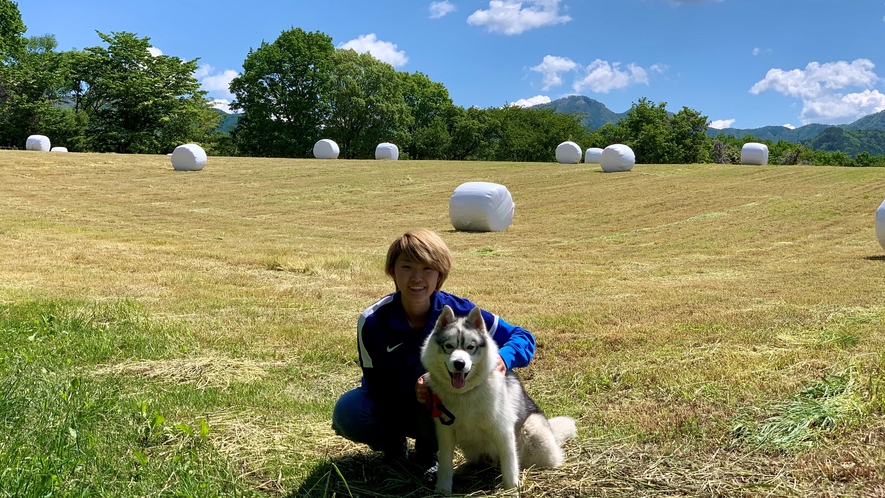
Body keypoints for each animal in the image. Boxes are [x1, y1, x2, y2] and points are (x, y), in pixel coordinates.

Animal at [422, 306, 580, 492]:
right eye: (449, 346)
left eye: (470, 347)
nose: (459, 363)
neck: (465, 393)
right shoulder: (446, 433)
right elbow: (445, 464)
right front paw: (443, 489)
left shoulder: (503, 431)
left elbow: (510, 466)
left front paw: (512, 489)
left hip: (532, 428)